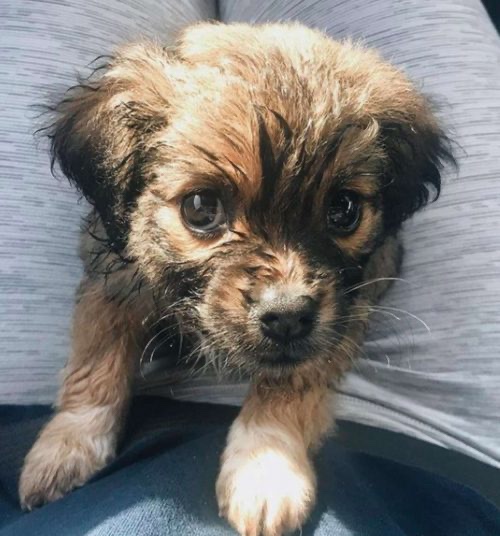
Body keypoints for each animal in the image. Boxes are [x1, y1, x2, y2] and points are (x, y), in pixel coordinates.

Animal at [18, 22, 454, 536]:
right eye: (201, 207)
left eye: (343, 209)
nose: (286, 316)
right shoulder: (115, 277)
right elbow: (95, 362)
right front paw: (66, 444)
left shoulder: (347, 309)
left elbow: (289, 383)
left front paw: (265, 467)